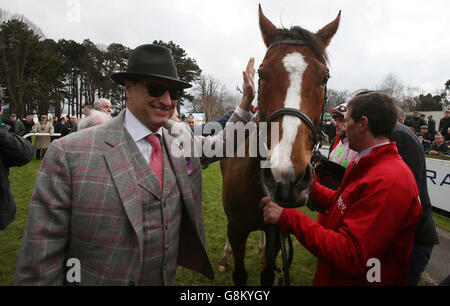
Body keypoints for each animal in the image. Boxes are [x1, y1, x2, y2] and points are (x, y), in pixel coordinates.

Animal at [219, 4, 342, 286]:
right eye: (262, 73)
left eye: (325, 77)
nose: (286, 176)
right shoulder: (236, 228)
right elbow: (239, 273)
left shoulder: (277, 228)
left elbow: (267, 274)